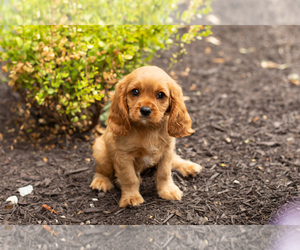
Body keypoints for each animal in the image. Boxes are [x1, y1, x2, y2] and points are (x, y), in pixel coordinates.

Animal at [89, 66, 202, 207]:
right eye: (135, 92)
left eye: (161, 95)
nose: (145, 110)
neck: (148, 129)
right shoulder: (123, 156)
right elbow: (129, 177)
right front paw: (131, 197)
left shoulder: (167, 150)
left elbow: (164, 172)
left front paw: (168, 190)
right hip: (101, 153)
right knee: (101, 170)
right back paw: (101, 181)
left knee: (175, 159)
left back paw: (189, 166)